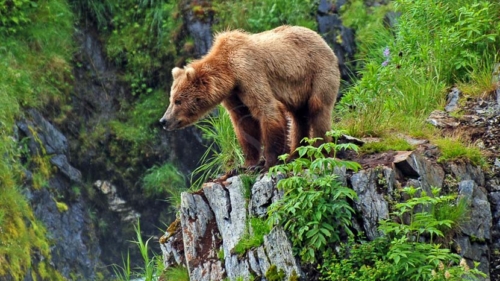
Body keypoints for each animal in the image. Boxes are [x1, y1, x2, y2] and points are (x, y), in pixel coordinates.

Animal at [160, 25, 340, 170]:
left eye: (177, 101)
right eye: (171, 99)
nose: (164, 121)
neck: (229, 73)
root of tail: (321, 39)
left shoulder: (249, 72)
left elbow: (267, 111)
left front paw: (267, 163)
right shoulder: (234, 94)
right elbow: (244, 123)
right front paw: (247, 164)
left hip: (318, 72)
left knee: (318, 109)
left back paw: (321, 151)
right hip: (298, 90)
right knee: (298, 117)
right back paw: (295, 154)